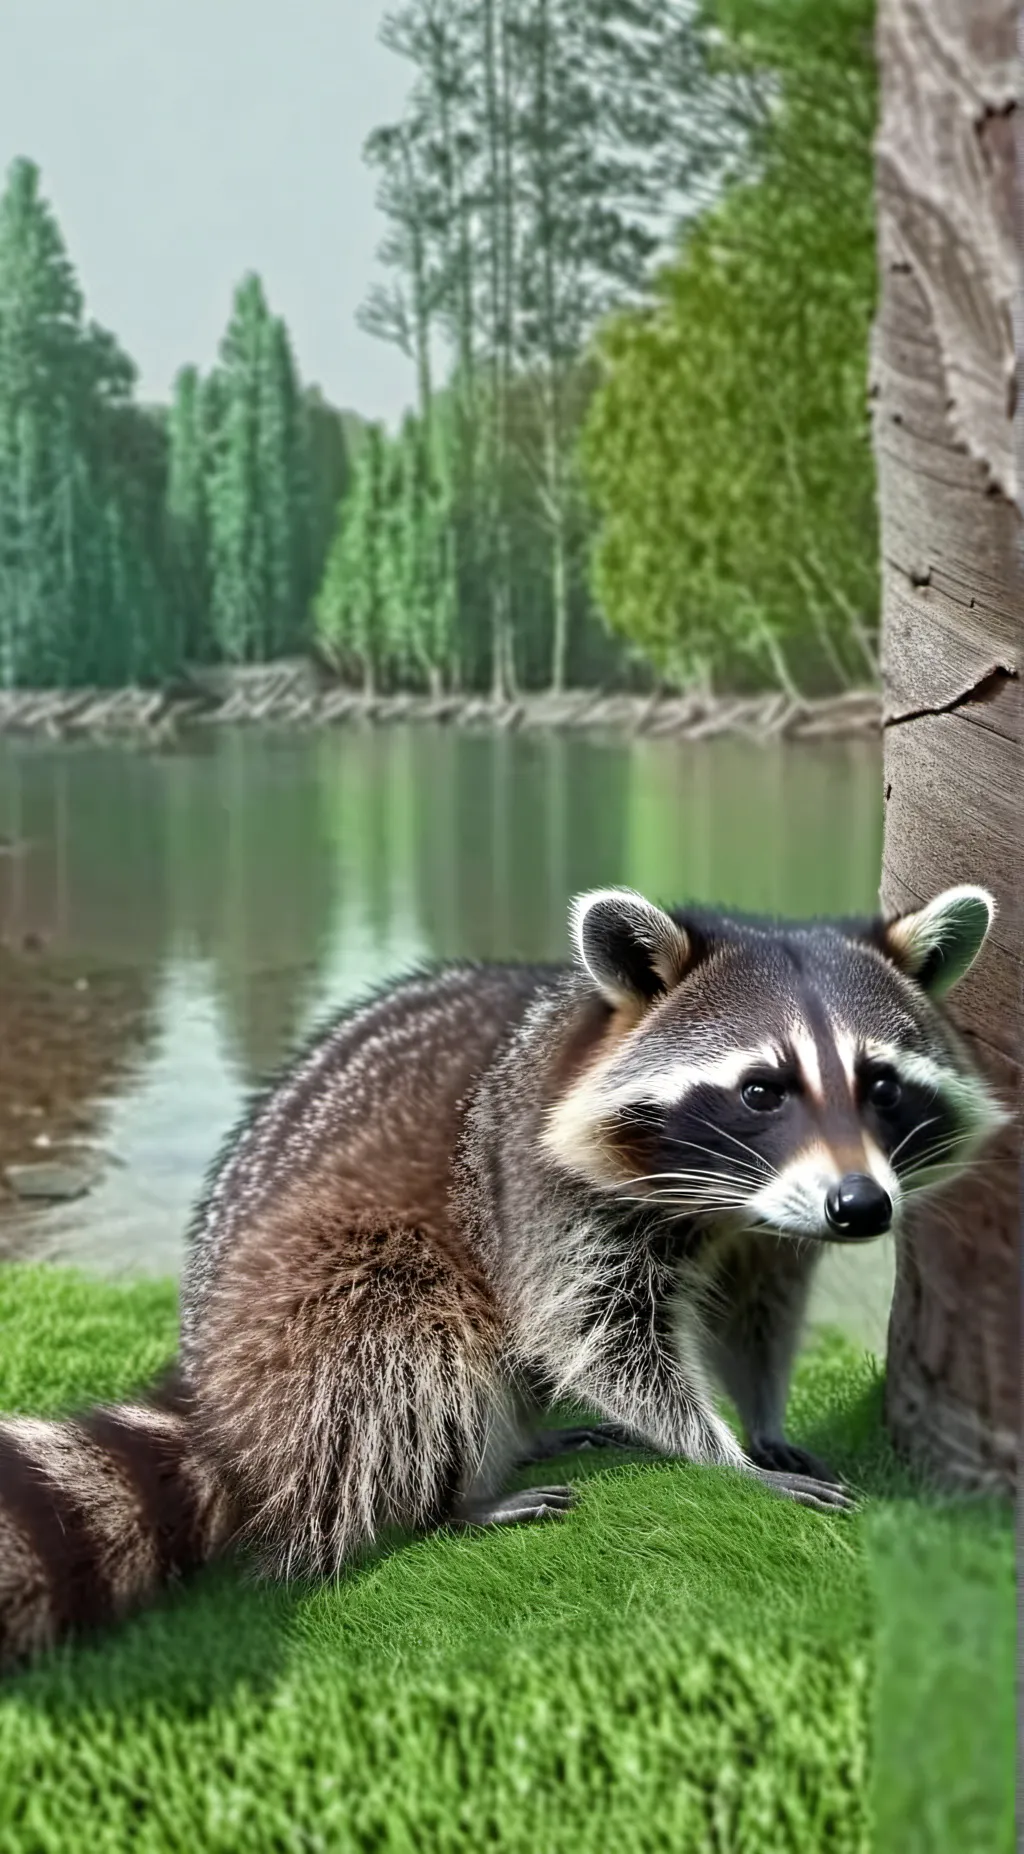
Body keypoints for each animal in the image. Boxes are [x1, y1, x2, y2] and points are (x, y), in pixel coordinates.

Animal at [0, 882, 1007, 1667]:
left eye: (882, 1084)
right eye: (763, 1088)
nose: (862, 1209)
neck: (725, 1195)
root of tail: (221, 1401)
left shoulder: (772, 1220)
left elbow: (756, 1311)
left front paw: (761, 1418)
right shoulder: (531, 1178)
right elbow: (592, 1332)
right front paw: (718, 1453)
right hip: (310, 1304)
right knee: (408, 1348)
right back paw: (451, 1502)